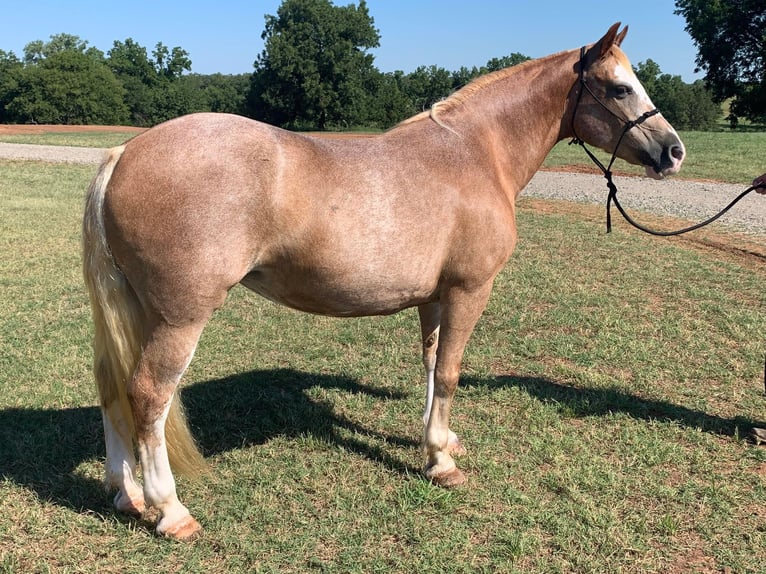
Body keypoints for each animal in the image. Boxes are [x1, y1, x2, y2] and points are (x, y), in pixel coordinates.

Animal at [82, 23, 684, 540]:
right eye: (619, 87)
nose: (673, 151)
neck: (475, 154)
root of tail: (124, 153)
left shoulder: (434, 298)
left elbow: (432, 364)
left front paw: (438, 441)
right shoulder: (469, 291)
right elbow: (451, 374)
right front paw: (441, 462)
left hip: (137, 309)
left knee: (112, 387)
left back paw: (125, 494)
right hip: (180, 317)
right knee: (148, 395)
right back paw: (169, 511)